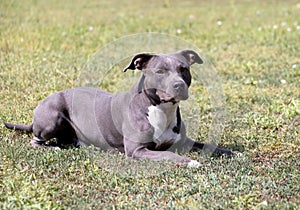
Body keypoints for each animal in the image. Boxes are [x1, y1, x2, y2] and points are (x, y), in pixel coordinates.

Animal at [4, 49, 232, 167]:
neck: (161, 109)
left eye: (183, 69)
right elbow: (170, 155)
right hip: (53, 116)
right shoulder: (137, 150)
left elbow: (206, 145)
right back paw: (54, 148)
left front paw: (230, 152)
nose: (179, 85)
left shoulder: (183, 141)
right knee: (35, 141)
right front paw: (190, 162)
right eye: (160, 71)